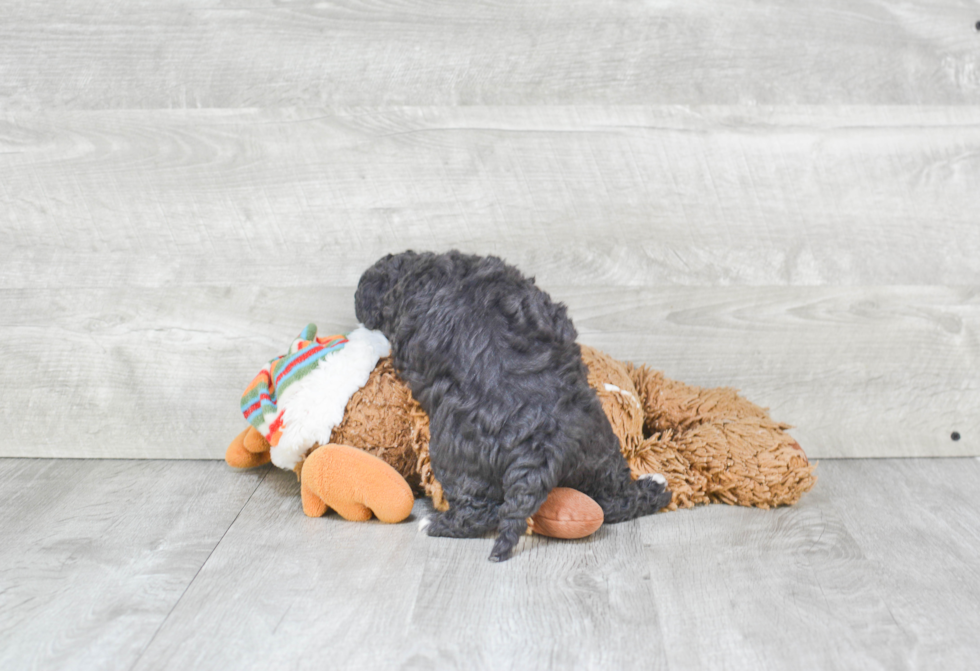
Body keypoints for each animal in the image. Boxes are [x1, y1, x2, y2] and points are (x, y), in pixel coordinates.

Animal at [356, 249, 668, 560]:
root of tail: (543, 448)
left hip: (457, 456)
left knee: (480, 510)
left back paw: (435, 524)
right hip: (599, 453)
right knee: (616, 501)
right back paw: (656, 489)